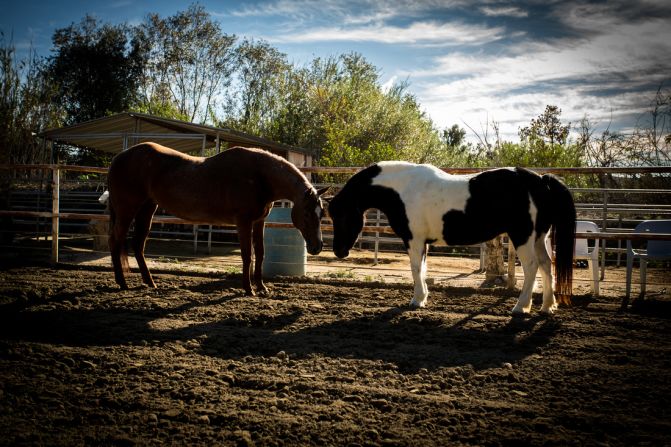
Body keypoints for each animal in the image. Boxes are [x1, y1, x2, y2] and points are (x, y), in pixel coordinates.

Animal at [107, 144, 328, 296]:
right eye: (307, 214)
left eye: (321, 214)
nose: (317, 247)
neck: (259, 176)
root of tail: (119, 157)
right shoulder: (243, 222)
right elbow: (247, 255)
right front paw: (249, 289)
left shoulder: (259, 222)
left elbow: (260, 253)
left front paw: (261, 287)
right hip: (127, 210)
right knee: (116, 241)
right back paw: (122, 283)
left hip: (147, 209)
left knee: (138, 244)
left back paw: (150, 283)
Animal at [326, 162, 576, 316]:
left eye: (341, 215)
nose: (339, 251)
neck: (403, 188)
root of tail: (540, 180)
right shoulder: (422, 242)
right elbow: (423, 269)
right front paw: (423, 298)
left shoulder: (414, 240)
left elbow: (415, 269)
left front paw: (416, 301)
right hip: (539, 237)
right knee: (546, 265)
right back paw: (547, 307)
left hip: (523, 237)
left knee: (532, 267)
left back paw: (520, 307)